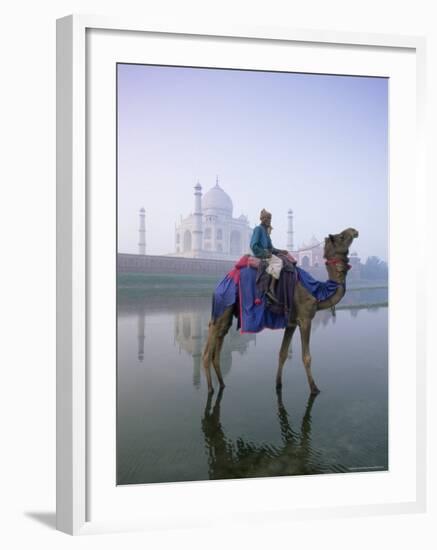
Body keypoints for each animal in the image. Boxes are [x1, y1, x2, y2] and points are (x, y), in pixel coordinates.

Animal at [201, 229, 358, 396]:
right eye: (341, 236)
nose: (354, 231)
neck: (316, 291)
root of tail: (221, 283)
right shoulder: (305, 319)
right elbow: (306, 357)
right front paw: (314, 389)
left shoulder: (291, 322)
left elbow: (282, 353)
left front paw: (278, 384)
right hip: (223, 303)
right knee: (208, 348)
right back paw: (210, 389)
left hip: (227, 310)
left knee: (220, 337)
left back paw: (222, 384)